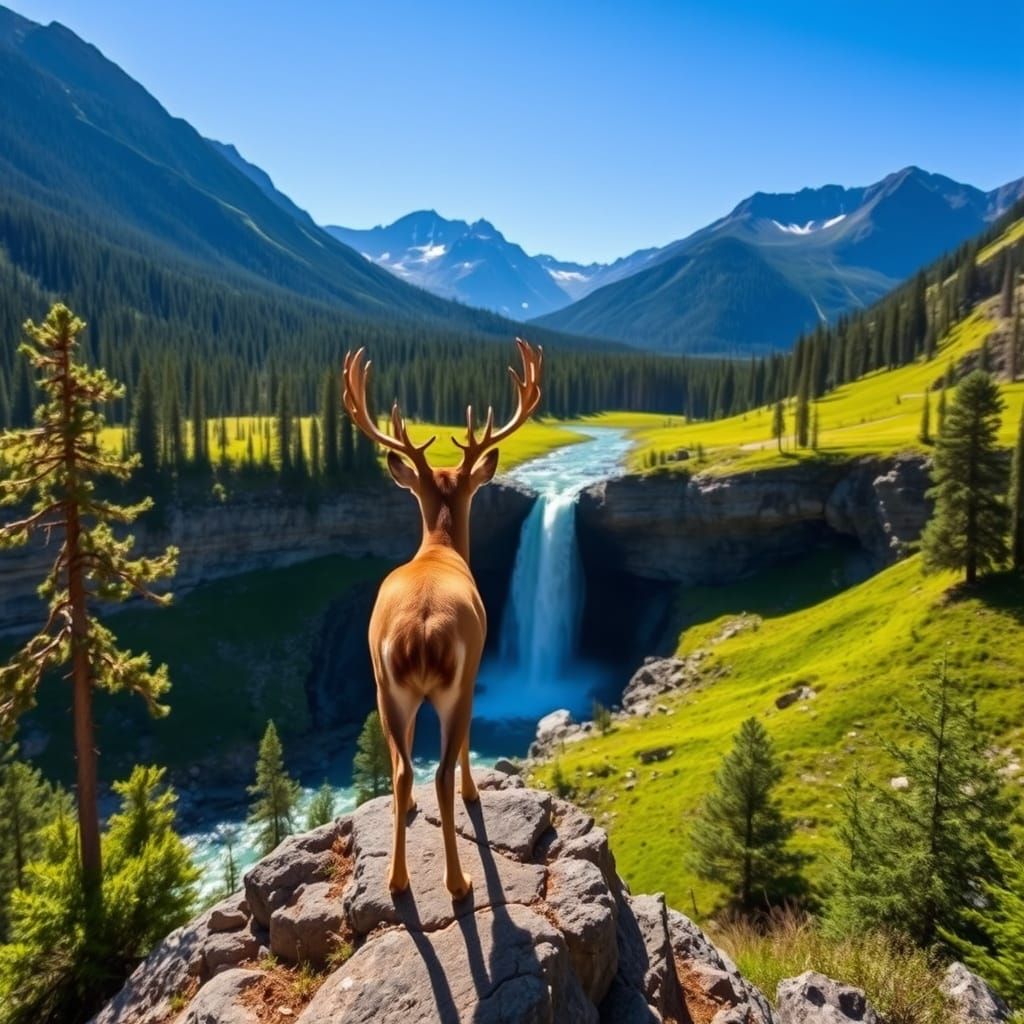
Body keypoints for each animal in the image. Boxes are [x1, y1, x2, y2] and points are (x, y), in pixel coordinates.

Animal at [342, 338, 543, 900]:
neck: (440, 549)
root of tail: (421, 634)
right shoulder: (477, 668)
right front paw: (478, 794)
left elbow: (405, 756)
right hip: (456, 680)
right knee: (440, 773)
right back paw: (459, 881)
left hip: (384, 684)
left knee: (403, 770)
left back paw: (396, 879)